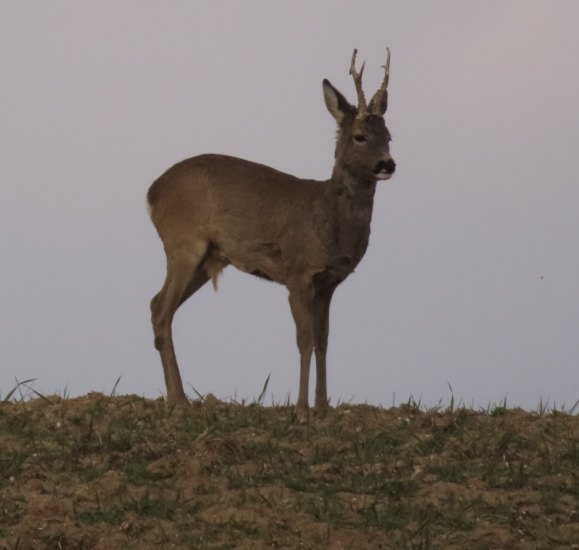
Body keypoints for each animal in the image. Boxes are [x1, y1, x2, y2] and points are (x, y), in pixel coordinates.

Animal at [147, 50, 396, 422]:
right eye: (360, 136)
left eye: (389, 136)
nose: (387, 164)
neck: (327, 221)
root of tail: (151, 193)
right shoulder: (297, 272)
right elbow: (304, 339)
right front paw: (302, 411)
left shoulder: (329, 283)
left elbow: (324, 341)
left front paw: (323, 409)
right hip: (183, 242)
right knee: (162, 309)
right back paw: (178, 401)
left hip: (206, 258)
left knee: (156, 305)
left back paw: (178, 398)